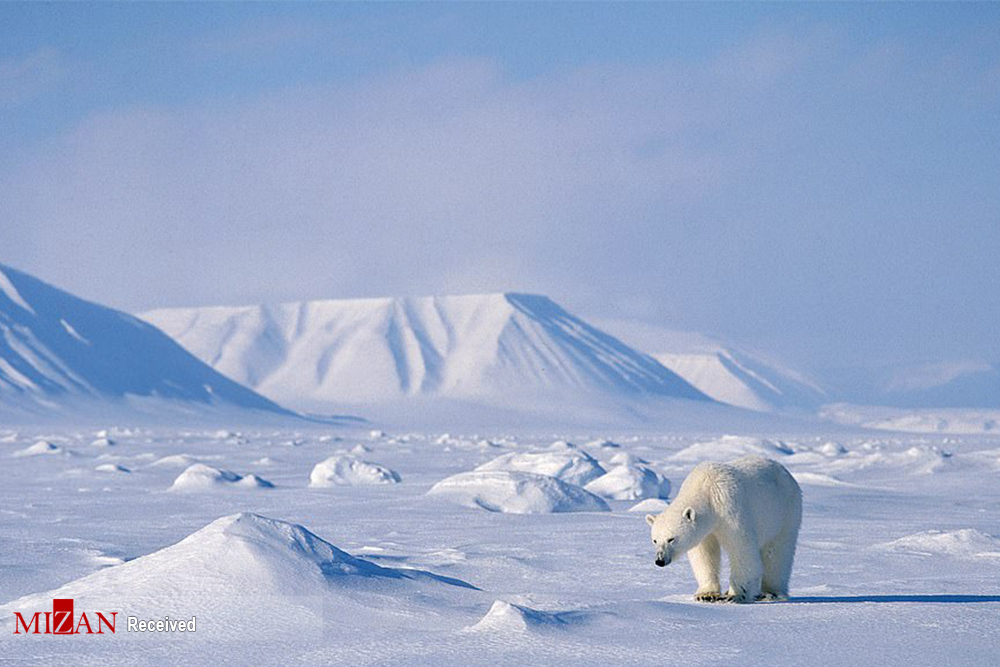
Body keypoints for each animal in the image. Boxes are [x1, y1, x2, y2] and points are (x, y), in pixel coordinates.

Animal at [644, 456, 800, 604]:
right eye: (655, 540)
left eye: (671, 539)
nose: (659, 560)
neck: (707, 490)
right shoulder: (706, 530)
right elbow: (704, 554)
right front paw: (706, 594)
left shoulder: (729, 508)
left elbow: (741, 547)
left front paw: (734, 595)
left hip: (784, 512)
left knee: (776, 553)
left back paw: (770, 593)